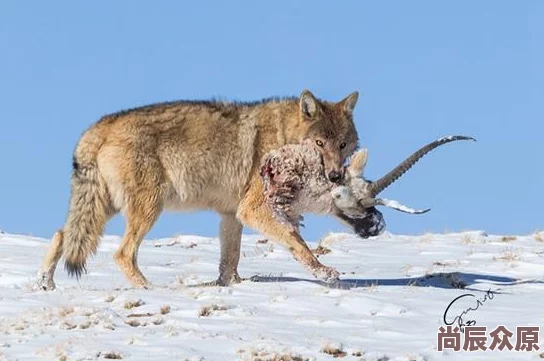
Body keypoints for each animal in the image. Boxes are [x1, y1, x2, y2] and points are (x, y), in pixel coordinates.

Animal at [36, 89, 376, 290]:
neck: (283, 138)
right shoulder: (253, 209)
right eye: (319, 143)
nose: (335, 176)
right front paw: (324, 272)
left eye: (342, 144)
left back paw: (45, 284)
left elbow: (230, 259)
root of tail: (98, 127)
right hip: (147, 209)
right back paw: (149, 289)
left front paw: (231, 285)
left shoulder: (232, 215)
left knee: (62, 234)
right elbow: (297, 242)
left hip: (105, 209)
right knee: (122, 253)